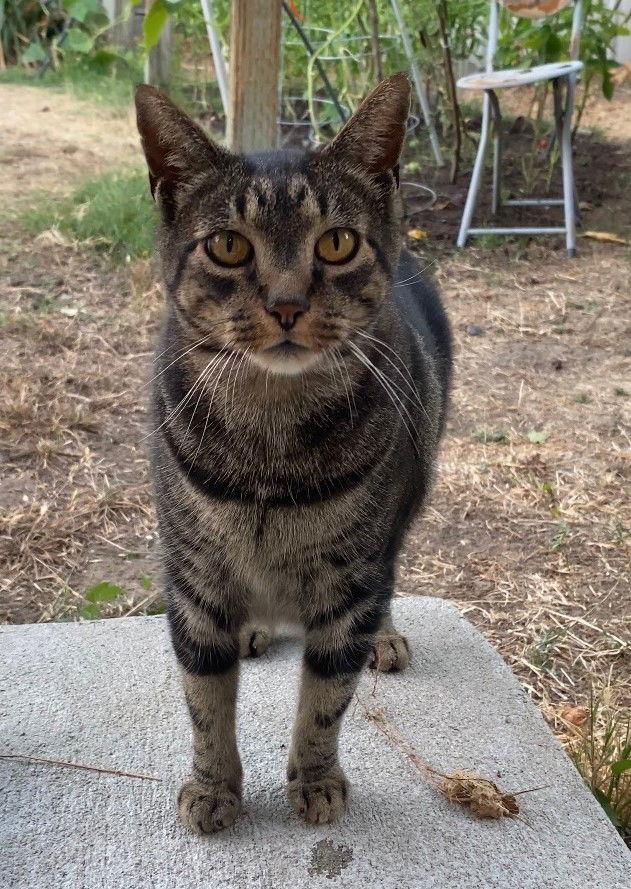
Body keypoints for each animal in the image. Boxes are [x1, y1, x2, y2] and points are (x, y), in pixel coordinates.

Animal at [136, 71, 454, 832]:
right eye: (227, 246)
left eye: (336, 243)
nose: (285, 304)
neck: (268, 445)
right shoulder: (192, 578)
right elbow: (204, 701)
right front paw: (214, 786)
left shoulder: (349, 581)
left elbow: (324, 702)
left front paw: (314, 780)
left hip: (408, 501)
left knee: (390, 577)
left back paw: (385, 634)